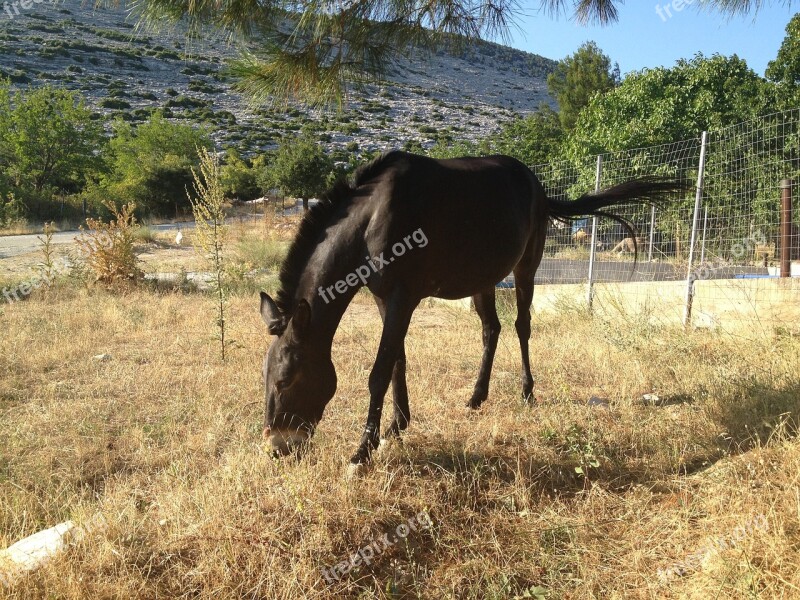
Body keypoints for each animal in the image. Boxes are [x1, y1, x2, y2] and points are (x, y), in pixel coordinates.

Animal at [258, 150, 680, 464]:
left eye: (286, 380)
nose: (277, 448)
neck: (373, 220)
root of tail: (538, 187)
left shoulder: (403, 298)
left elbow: (379, 370)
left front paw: (363, 451)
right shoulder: (383, 298)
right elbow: (397, 361)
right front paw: (397, 426)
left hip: (526, 268)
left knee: (522, 326)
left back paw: (527, 392)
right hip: (483, 281)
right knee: (491, 329)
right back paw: (477, 397)